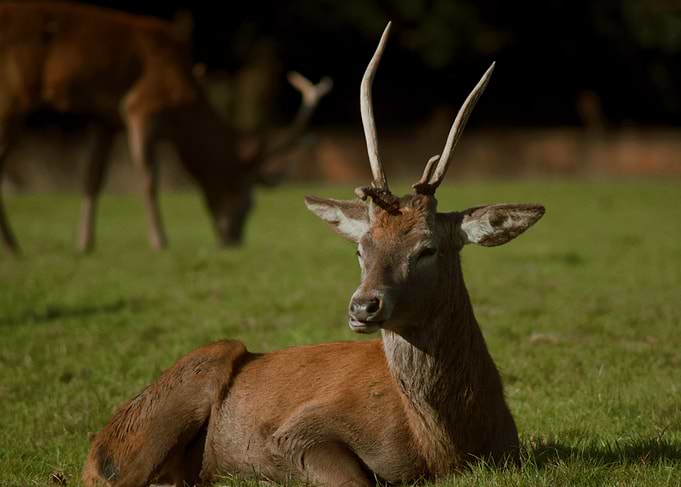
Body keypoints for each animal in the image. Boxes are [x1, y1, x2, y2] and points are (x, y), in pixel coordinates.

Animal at [0, 2, 331, 254]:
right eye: (248, 205)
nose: (233, 242)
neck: (184, 107)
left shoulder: (106, 118)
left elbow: (92, 178)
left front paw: (83, 244)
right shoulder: (140, 106)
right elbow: (149, 177)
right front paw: (159, 242)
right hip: (13, 97)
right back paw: (13, 248)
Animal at [83, 22, 544, 487]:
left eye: (427, 248)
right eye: (360, 248)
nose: (363, 306)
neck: (442, 447)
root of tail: (98, 444)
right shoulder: (295, 431)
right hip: (169, 403)